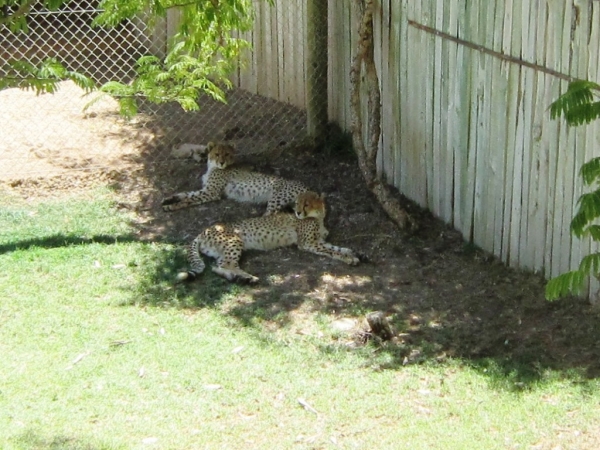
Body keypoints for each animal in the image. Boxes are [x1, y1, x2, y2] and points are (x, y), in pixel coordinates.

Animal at [161, 142, 310, 216]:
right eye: (217, 154)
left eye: (227, 154)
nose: (222, 162)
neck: (213, 167)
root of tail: (307, 187)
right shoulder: (206, 189)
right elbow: (186, 194)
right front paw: (168, 199)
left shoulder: (211, 192)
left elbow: (188, 199)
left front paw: (171, 207)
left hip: (276, 197)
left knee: (269, 216)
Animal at [176, 191, 358, 284]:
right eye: (297, 203)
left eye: (306, 204)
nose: (298, 212)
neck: (317, 216)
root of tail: (204, 230)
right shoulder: (308, 243)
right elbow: (332, 251)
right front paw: (348, 258)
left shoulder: (318, 241)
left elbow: (336, 247)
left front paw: (352, 253)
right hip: (234, 241)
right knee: (225, 264)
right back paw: (248, 278)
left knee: (217, 266)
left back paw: (236, 277)